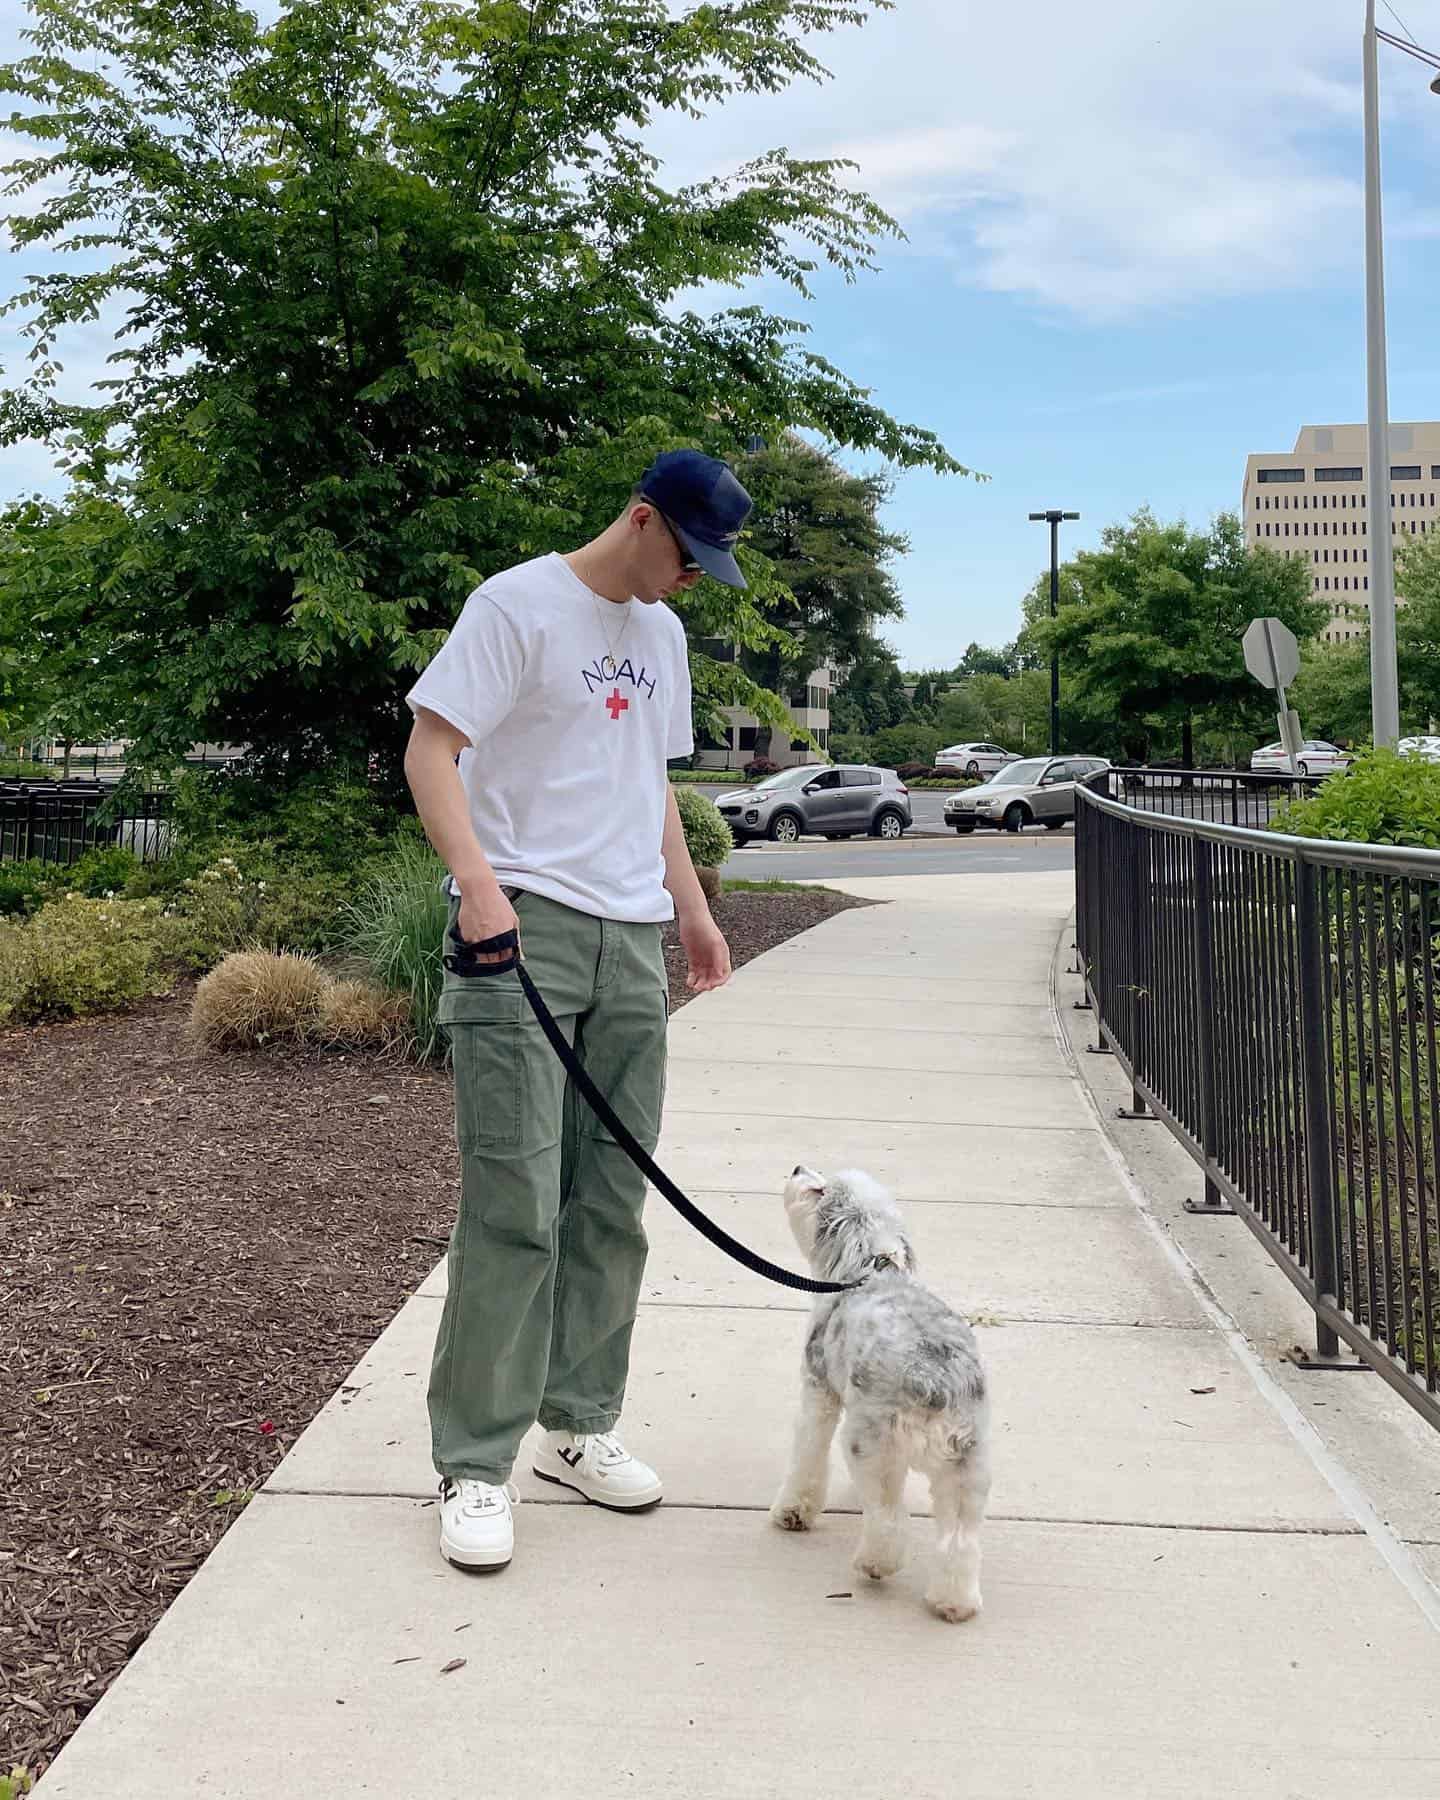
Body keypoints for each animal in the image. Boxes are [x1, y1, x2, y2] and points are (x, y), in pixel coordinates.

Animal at [777, 1159, 993, 1627]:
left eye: (819, 1190)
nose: (798, 1167)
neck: (871, 1269)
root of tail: (935, 1381)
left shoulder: (819, 1394)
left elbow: (807, 1457)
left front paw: (793, 1511)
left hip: (871, 1446)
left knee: (889, 1518)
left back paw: (875, 1564)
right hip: (969, 1466)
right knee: (960, 1541)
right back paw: (955, 1602)